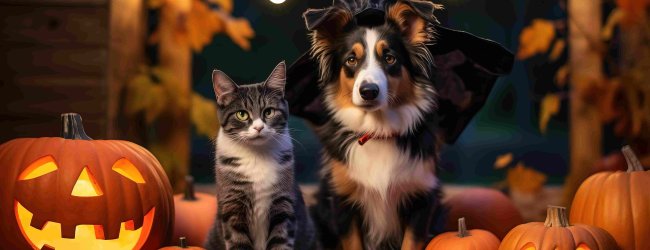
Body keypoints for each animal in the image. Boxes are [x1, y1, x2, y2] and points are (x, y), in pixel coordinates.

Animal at [202, 61, 314, 250]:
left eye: (268, 112)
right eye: (242, 114)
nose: (259, 127)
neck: (257, 155)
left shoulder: (283, 206)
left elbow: (280, 240)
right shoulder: (232, 205)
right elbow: (238, 240)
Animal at [300, 0, 446, 249]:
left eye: (390, 58)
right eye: (351, 59)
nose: (368, 91)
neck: (377, 130)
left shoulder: (422, 198)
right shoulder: (343, 201)